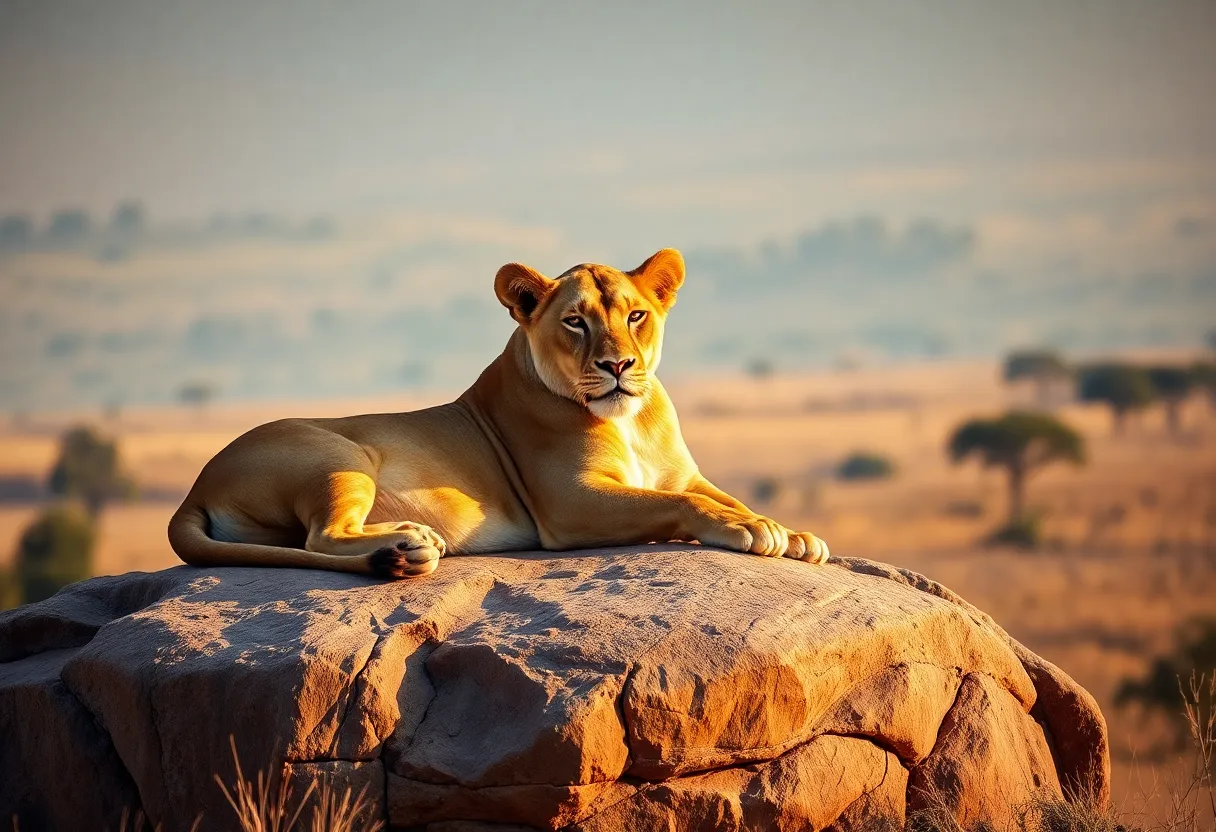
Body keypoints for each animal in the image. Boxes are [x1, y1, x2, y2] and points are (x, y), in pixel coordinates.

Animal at [168, 248, 829, 578]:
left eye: (636, 315)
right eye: (575, 321)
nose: (618, 365)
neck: (631, 421)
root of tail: (194, 488)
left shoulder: (682, 475)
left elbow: (724, 497)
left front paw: (792, 533)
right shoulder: (570, 503)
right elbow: (685, 507)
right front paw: (754, 532)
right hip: (338, 454)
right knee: (322, 537)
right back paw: (412, 544)